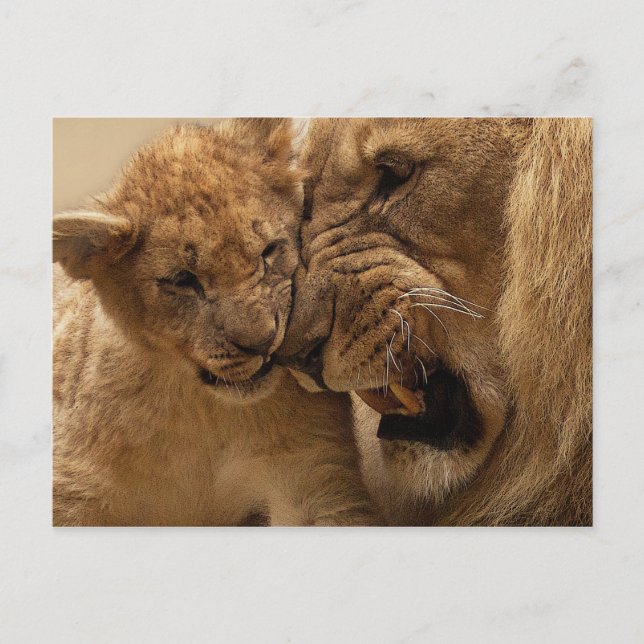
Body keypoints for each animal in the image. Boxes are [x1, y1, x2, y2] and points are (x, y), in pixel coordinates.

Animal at [53, 118, 379, 526]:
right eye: (182, 280)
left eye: (269, 251)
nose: (263, 342)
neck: (203, 410)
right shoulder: (72, 491)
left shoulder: (313, 475)